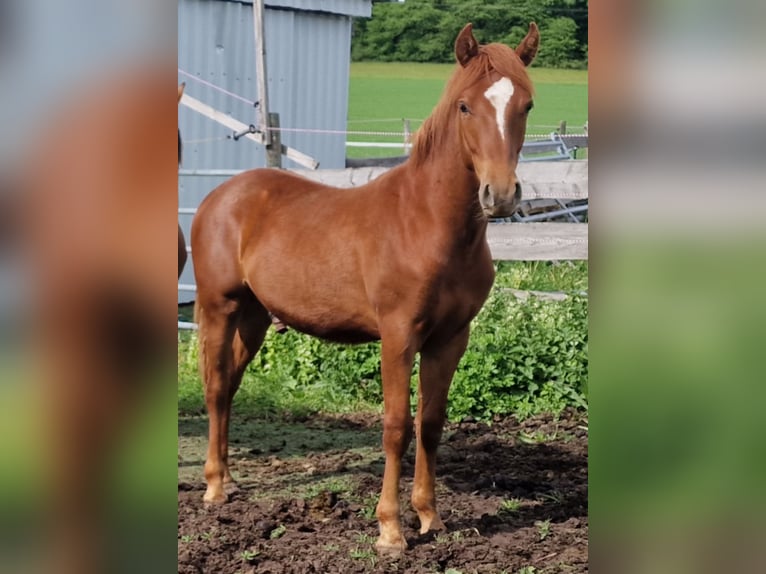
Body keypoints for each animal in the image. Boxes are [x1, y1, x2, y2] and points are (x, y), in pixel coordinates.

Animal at [191, 22, 539, 554]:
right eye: (465, 106)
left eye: (526, 105)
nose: (499, 196)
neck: (427, 224)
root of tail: (221, 195)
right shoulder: (397, 337)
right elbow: (396, 427)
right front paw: (390, 530)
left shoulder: (449, 339)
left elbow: (430, 424)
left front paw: (430, 518)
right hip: (219, 308)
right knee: (214, 387)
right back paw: (213, 488)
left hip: (253, 318)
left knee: (228, 386)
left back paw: (229, 481)